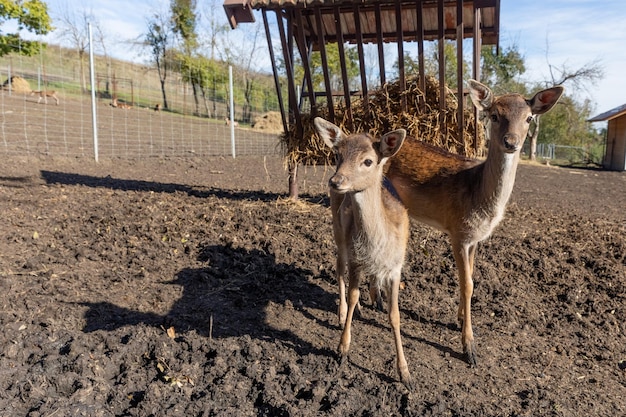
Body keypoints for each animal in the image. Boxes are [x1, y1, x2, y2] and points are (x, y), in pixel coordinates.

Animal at [314, 116, 412, 386]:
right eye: (337, 154)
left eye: (368, 161)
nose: (336, 181)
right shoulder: (356, 260)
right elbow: (353, 292)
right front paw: (342, 349)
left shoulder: (396, 267)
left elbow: (395, 315)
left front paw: (405, 372)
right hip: (338, 233)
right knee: (339, 268)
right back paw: (342, 312)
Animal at [382, 79, 564, 366]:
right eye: (495, 115)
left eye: (529, 118)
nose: (511, 142)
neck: (480, 198)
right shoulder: (457, 232)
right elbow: (467, 284)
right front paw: (469, 348)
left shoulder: (476, 239)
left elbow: (470, 275)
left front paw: (459, 319)